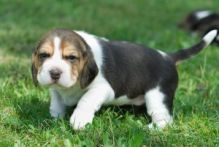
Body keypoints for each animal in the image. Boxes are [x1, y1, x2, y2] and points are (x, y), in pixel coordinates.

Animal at [31, 28, 217, 130]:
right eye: (44, 55)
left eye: (71, 57)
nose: (55, 73)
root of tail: (168, 57)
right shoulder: (56, 90)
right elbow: (56, 102)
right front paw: (55, 118)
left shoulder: (103, 89)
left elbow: (86, 99)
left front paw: (80, 120)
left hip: (157, 96)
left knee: (165, 120)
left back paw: (148, 129)